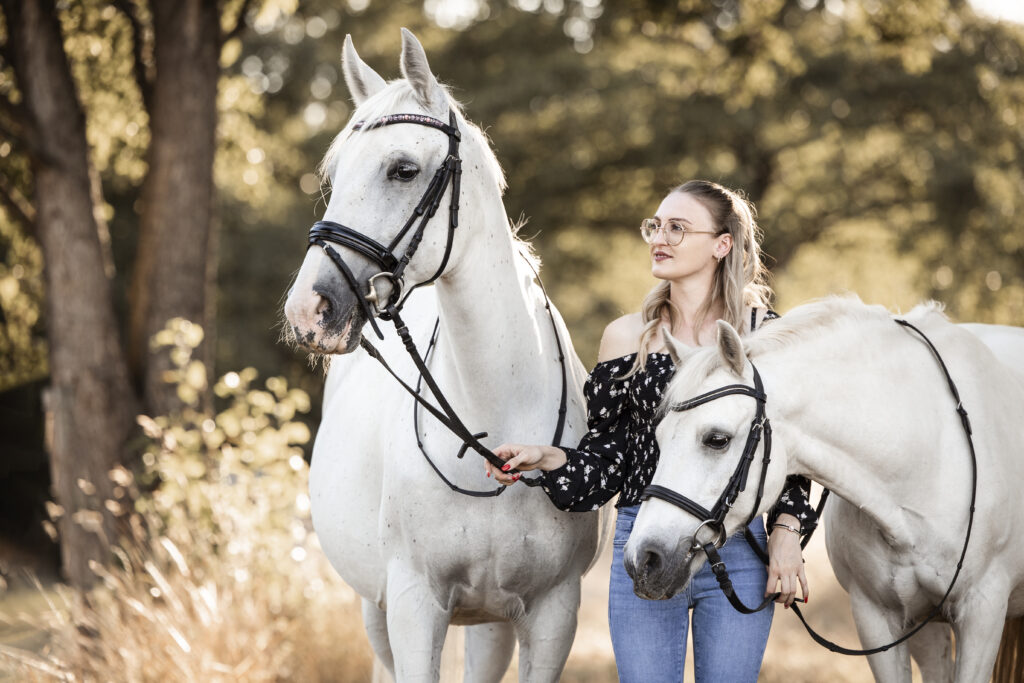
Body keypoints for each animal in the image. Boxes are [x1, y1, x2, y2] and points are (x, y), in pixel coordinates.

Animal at [282, 30, 598, 683]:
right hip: (375, 610)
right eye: (335, 172)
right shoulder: (412, 605)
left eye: (403, 169)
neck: (493, 417)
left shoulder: (554, 614)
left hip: (492, 621)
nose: (308, 311)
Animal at [622, 299, 1024, 683]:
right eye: (658, 438)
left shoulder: (982, 614)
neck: (926, 456)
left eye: (716, 439)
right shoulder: (880, 617)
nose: (642, 560)